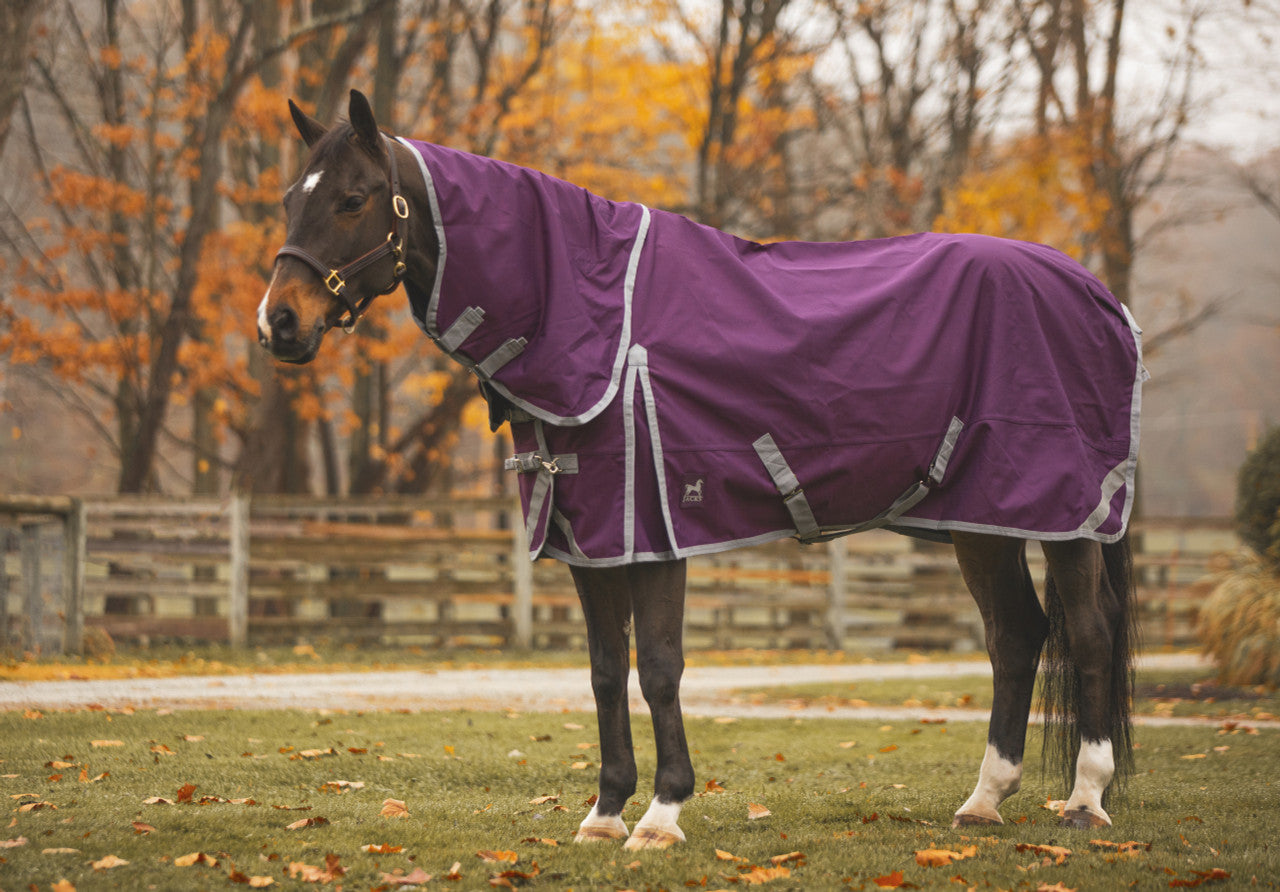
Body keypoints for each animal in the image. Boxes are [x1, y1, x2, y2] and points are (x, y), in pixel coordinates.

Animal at [257, 92, 1141, 849]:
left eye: (355, 198)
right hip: (984, 520)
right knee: (1016, 635)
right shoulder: (592, 539)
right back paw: (984, 801)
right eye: (290, 199)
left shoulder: (654, 529)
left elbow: (658, 667)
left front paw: (662, 814)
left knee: (1088, 631)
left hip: (1067, 516)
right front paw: (605, 813)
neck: (600, 320)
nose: (279, 324)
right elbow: (604, 671)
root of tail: (1096, 294)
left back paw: (1086, 799)